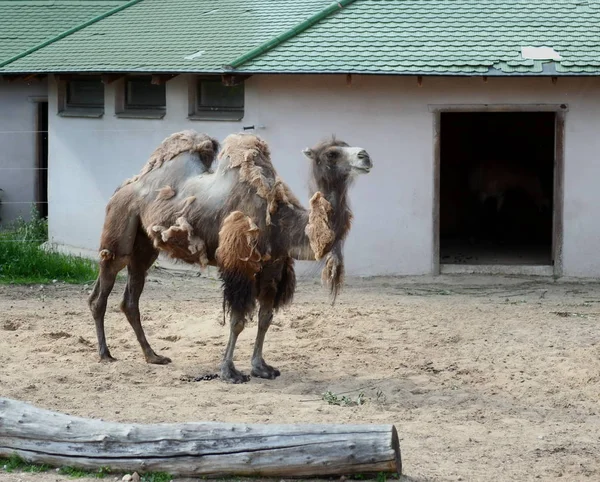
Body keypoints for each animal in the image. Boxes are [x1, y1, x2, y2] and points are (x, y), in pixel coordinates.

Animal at [89, 129, 372, 384]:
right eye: (332, 153)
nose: (366, 156)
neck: (283, 223)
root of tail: (124, 187)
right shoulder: (240, 263)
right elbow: (237, 321)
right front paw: (229, 371)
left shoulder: (273, 266)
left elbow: (265, 319)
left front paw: (261, 367)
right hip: (120, 228)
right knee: (102, 288)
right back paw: (105, 354)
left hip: (145, 246)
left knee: (130, 298)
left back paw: (153, 356)